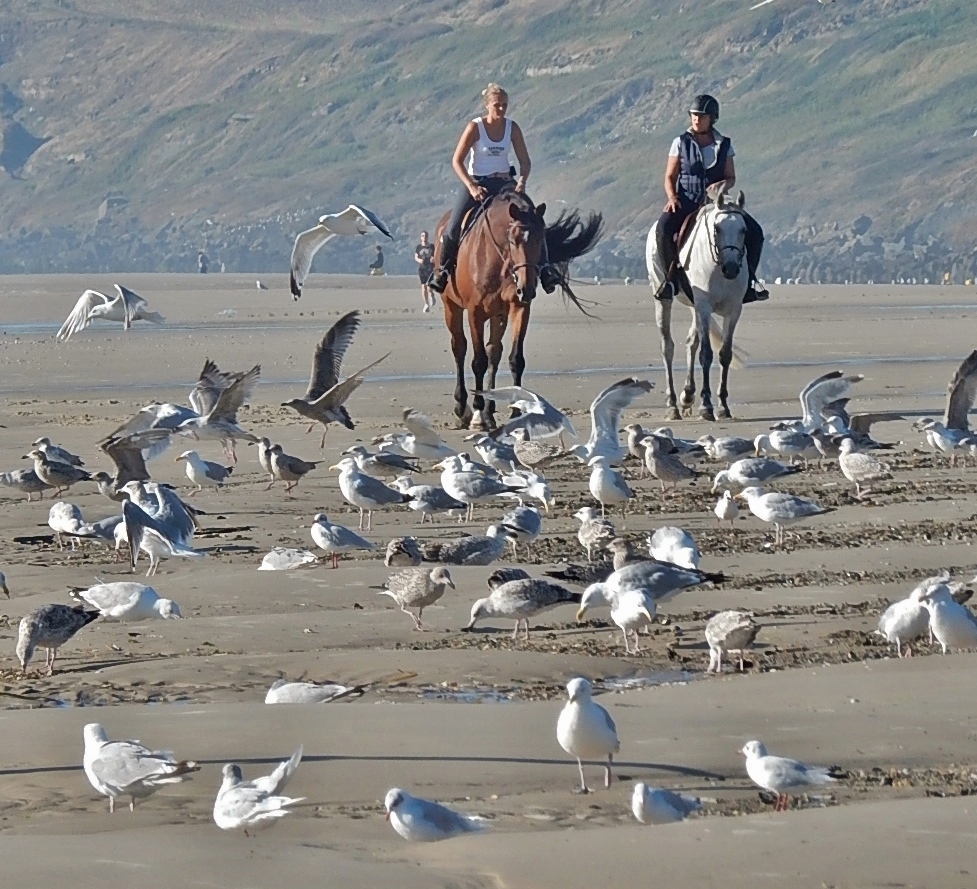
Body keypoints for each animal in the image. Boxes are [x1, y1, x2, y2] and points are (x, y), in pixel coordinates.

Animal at [434, 191, 604, 430]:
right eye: (513, 240)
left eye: (541, 239)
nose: (528, 287)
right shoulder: (475, 312)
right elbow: (478, 362)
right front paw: (477, 414)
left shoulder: (519, 307)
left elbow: (515, 359)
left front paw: (514, 412)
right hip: (452, 306)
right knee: (459, 347)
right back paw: (463, 409)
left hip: (498, 314)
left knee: (494, 352)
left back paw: (490, 411)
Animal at [648, 186, 748, 422]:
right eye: (717, 228)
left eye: (743, 230)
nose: (731, 268)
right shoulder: (704, 306)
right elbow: (706, 354)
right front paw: (706, 405)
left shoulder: (733, 310)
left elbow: (725, 354)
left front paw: (723, 406)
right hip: (666, 298)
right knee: (668, 347)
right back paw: (673, 405)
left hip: (695, 307)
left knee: (690, 343)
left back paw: (687, 394)